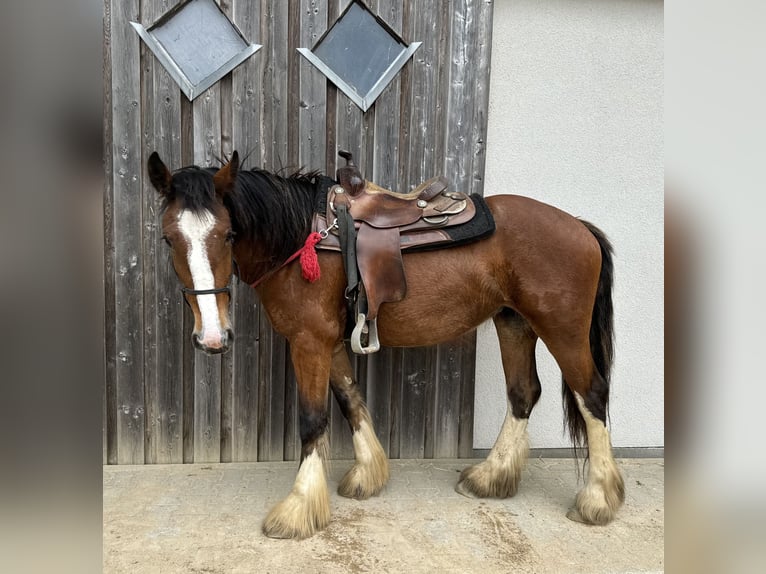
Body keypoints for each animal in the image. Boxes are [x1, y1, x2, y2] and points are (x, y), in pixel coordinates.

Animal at [147, 148, 628, 540]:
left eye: (228, 235)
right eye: (168, 238)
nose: (212, 336)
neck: (303, 237)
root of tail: (580, 227)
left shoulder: (309, 341)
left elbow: (313, 420)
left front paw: (299, 508)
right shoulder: (330, 343)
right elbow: (350, 399)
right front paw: (368, 473)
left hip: (561, 329)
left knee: (592, 395)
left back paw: (598, 498)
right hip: (514, 323)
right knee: (523, 393)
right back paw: (491, 476)